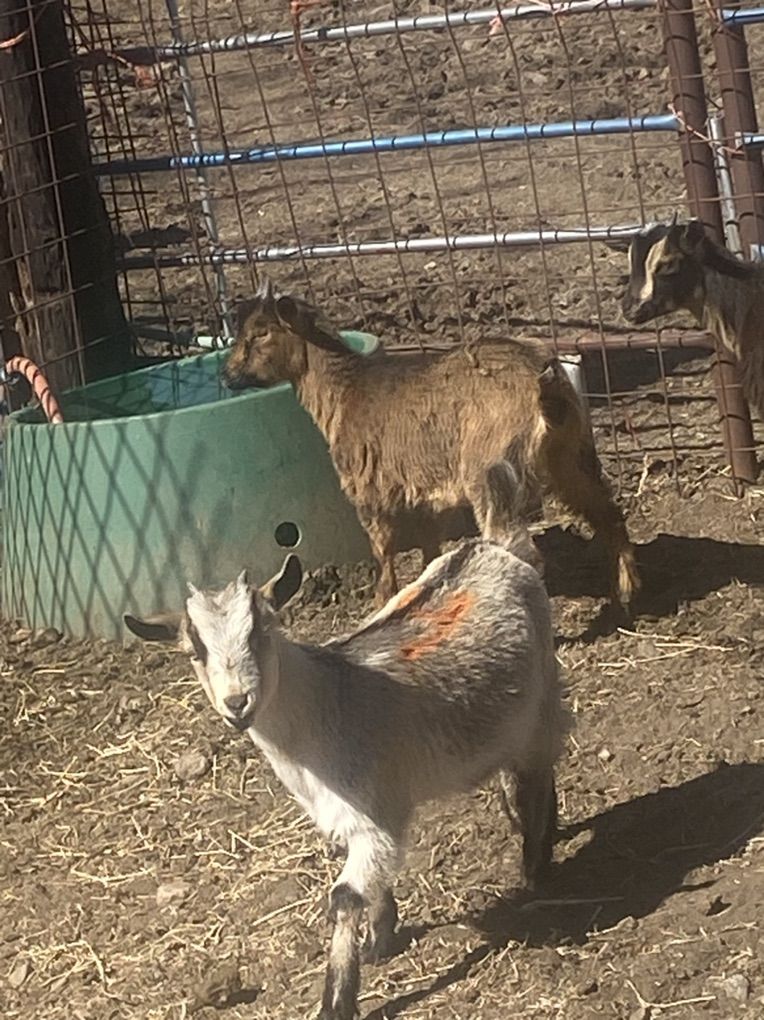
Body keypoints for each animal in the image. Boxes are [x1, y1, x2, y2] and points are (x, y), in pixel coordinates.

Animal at [125, 538, 568, 1020]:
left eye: (261, 634)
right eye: (195, 652)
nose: (237, 703)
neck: (327, 704)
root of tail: (483, 548)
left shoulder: (374, 813)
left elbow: (343, 897)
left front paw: (337, 1000)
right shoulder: (348, 815)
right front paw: (381, 937)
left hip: (542, 698)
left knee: (539, 769)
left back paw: (535, 865)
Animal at [223, 279, 639, 608]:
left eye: (260, 332)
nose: (228, 375)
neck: (345, 392)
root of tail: (543, 385)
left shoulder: (366, 490)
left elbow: (383, 550)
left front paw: (381, 600)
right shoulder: (420, 495)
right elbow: (428, 545)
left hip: (489, 468)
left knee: (519, 547)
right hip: (572, 455)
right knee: (608, 512)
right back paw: (626, 593)